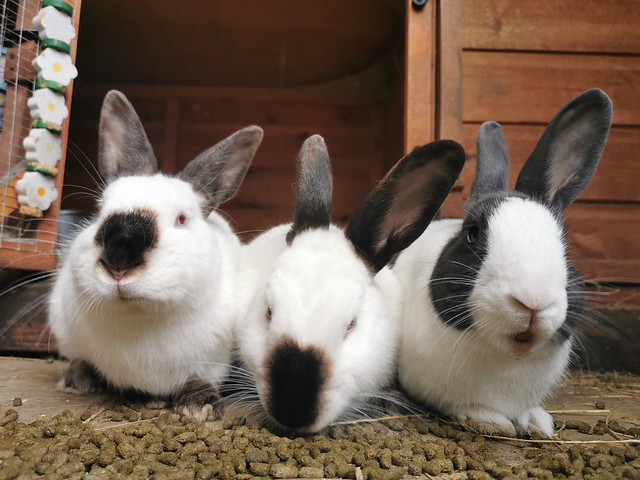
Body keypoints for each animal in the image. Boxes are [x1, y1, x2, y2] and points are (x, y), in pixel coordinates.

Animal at [48, 90, 263, 419]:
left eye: (182, 219)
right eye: (100, 211)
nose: (119, 262)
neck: (139, 317)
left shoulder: (211, 359)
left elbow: (202, 378)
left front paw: (198, 406)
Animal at [394, 89, 613, 438]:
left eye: (563, 241)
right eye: (472, 234)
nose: (533, 301)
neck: (509, 357)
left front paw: (538, 424)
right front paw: (492, 421)